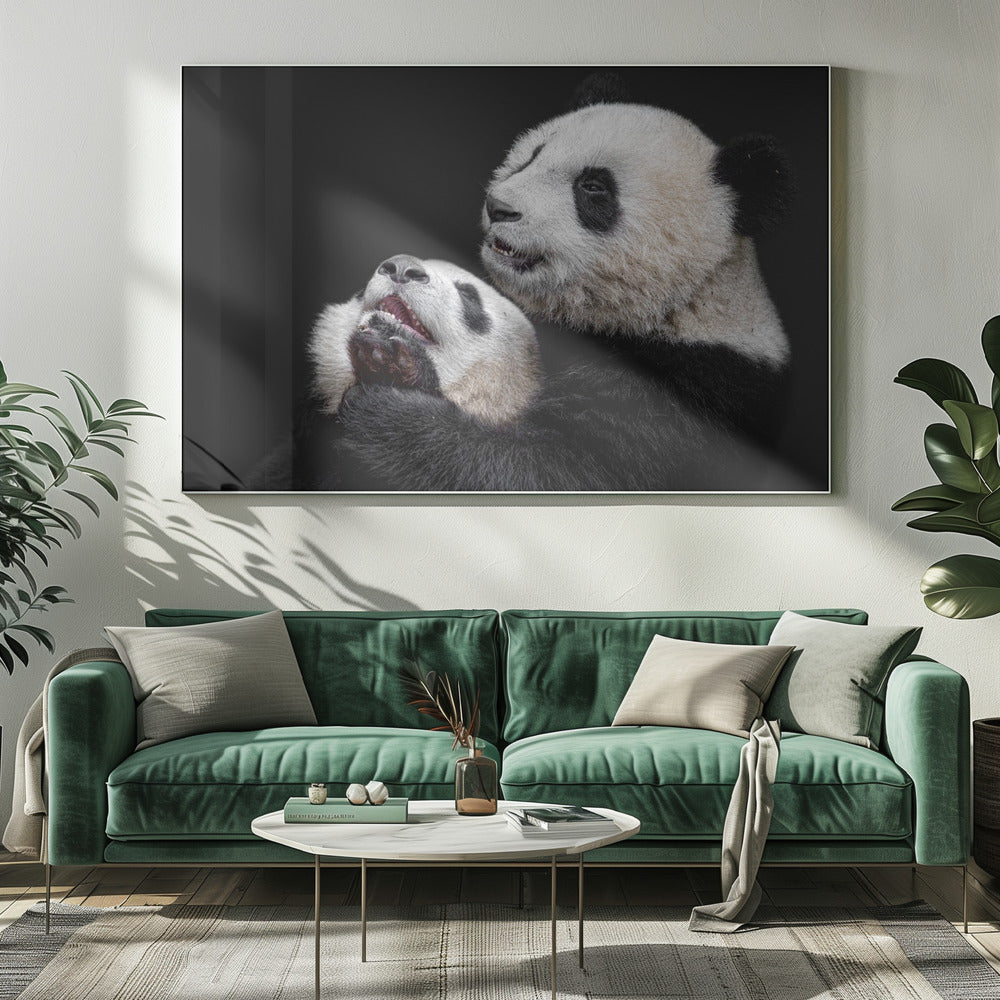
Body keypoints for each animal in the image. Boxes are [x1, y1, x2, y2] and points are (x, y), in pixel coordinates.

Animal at [337, 82, 803, 491]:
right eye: (531, 157)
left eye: (593, 187)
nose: (499, 206)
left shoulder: (686, 394)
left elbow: (552, 471)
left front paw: (391, 398)